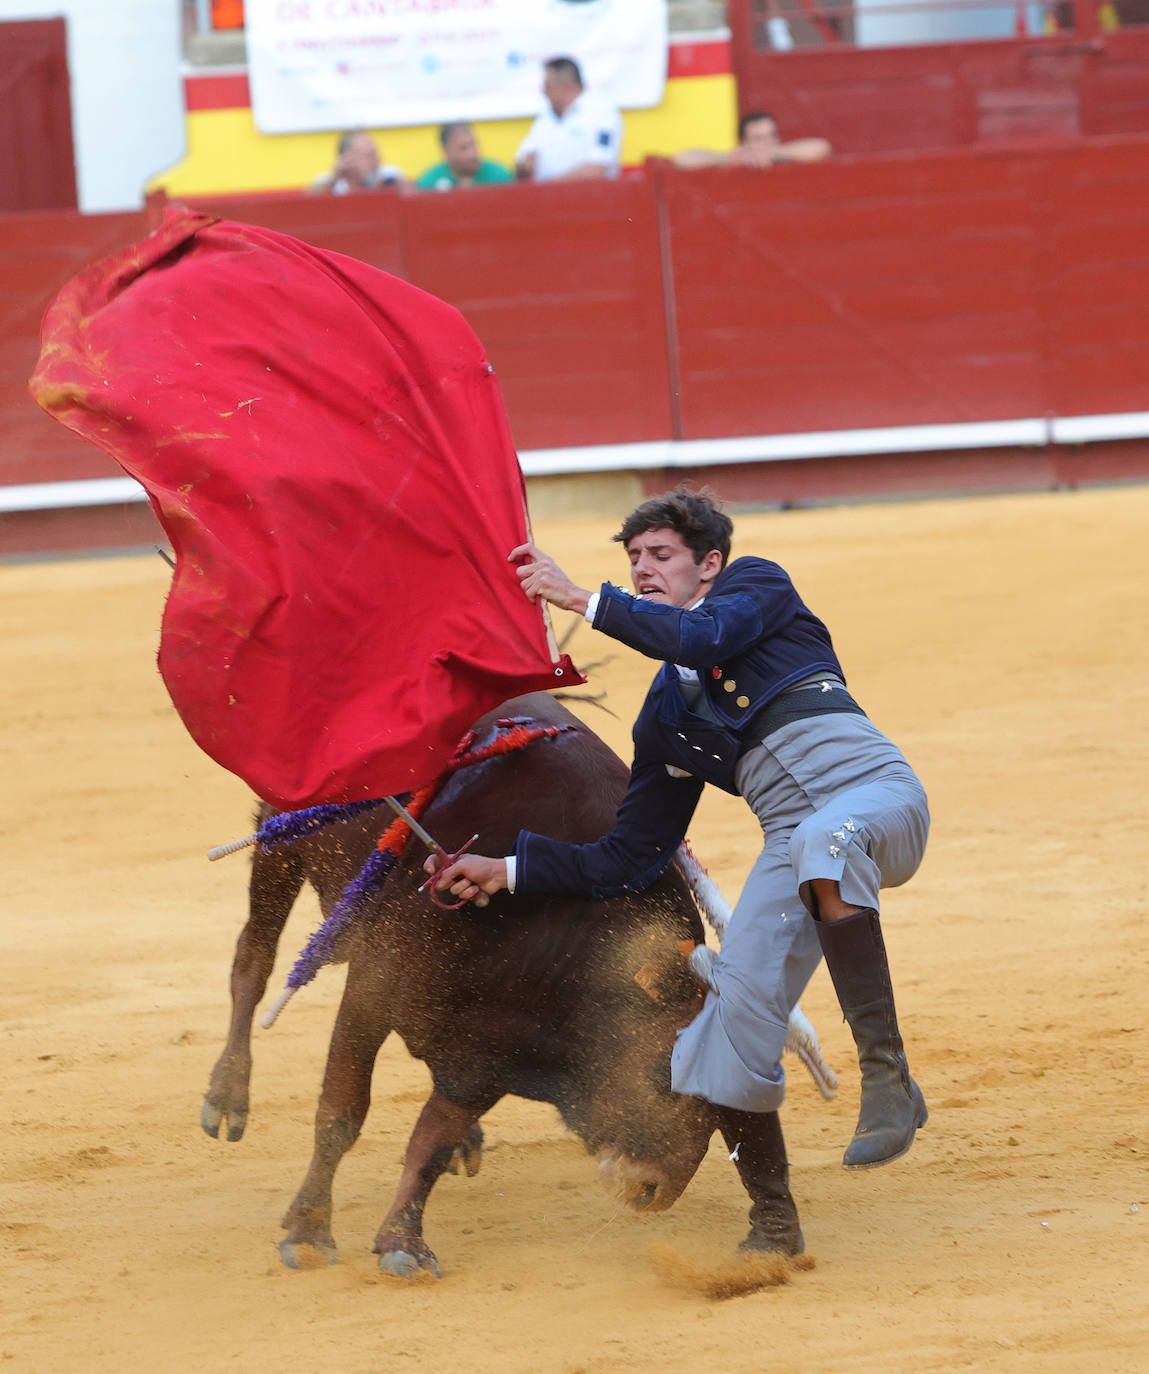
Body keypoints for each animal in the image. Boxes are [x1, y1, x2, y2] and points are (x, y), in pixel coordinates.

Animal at [199, 687, 720, 1275]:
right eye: (665, 1073)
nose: (655, 1191)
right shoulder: (373, 989)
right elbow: (341, 1112)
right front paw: (308, 1232)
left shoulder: (491, 1052)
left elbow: (432, 1142)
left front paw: (403, 1242)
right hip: (278, 842)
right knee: (253, 961)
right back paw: (226, 1097)